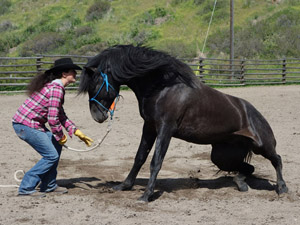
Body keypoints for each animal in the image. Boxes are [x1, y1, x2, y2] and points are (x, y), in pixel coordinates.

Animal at [79, 44, 288, 202]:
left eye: (95, 85)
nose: (97, 117)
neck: (163, 87)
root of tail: (254, 113)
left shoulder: (166, 128)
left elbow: (156, 161)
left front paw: (146, 196)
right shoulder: (149, 127)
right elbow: (139, 157)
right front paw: (124, 186)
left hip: (261, 146)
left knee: (277, 159)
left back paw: (282, 188)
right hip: (221, 155)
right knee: (248, 168)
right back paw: (241, 184)